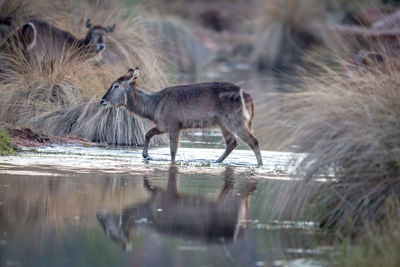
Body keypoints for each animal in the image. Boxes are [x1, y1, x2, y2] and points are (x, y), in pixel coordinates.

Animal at [98, 169, 258, 252]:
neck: (145, 212)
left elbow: (149, 185)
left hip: (233, 206)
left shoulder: (159, 196)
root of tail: (242, 230)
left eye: (109, 232)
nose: (98, 215)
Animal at [99, 67, 262, 165]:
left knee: (253, 141)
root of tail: (249, 97)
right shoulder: (164, 125)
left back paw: (259, 165)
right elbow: (148, 133)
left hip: (235, 120)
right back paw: (216, 162)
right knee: (232, 143)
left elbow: (173, 150)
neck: (155, 106)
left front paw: (152, 156)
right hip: (223, 123)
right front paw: (145, 155)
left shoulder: (173, 124)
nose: (102, 101)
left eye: (116, 85)